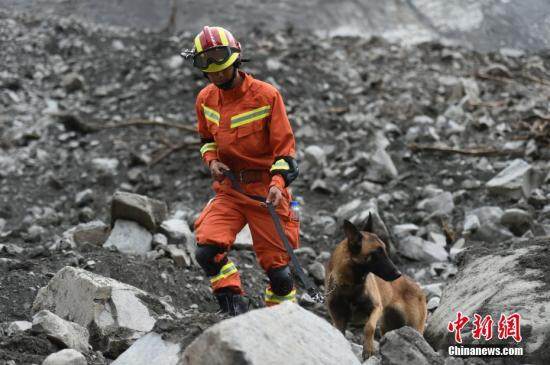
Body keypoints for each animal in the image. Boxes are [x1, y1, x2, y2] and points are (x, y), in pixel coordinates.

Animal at [326, 213, 430, 358]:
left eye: (385, 250)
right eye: (376, 253)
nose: (398, 274)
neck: (350, 285)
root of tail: (418, 288)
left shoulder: (376, 308)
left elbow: (369, 327)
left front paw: (368, 349)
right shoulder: (338, 319)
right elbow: (340, 334)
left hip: (414, 328)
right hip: (389, 328)